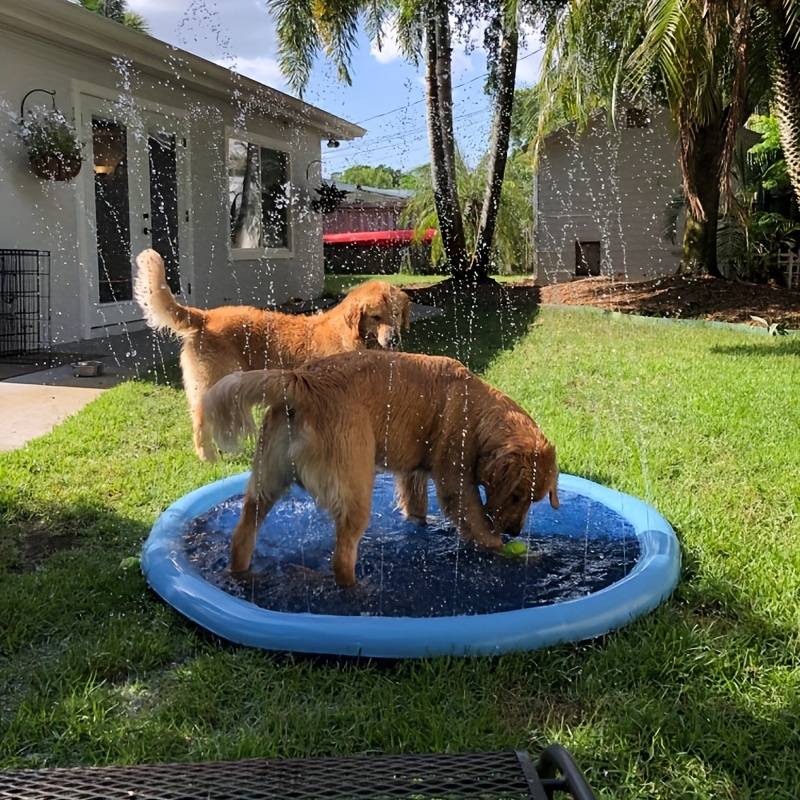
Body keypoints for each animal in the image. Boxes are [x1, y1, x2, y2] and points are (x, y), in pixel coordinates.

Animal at [134, 250, 410, 462]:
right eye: (375, 317)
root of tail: (205, 316)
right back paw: (208, 457)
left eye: (396, 314)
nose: (394, 339)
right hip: (213, 383)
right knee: (200, 422)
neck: (351, 335)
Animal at [203, 350, 560, 588]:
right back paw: (359, 590)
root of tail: (301, 381)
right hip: (355, 486)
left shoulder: (413, 474)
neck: (477, 410)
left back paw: (241, 573)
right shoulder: (454, 480)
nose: (515, 532)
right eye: (516, 495)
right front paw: (512, 551)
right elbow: (476, 521)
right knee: (341, 557)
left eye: (534, 500)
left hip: (267, 480)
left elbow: (416, 506)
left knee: (242, 533)